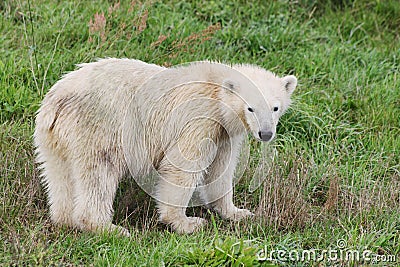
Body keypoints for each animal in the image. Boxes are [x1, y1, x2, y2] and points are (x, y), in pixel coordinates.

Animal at [34, 57, 296, 236]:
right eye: (251, 107)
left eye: (275, 107)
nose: (265, 133)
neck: (215, 88)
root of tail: (57, 102)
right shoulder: (198, 119)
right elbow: (183, 167)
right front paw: (187, 223)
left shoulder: (223, 134)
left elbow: (220, 171)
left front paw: (237, 213)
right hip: (99, 129)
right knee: (99, 174)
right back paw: (109, 228)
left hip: (54, 138)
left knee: (59, 173)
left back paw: (65, 219)